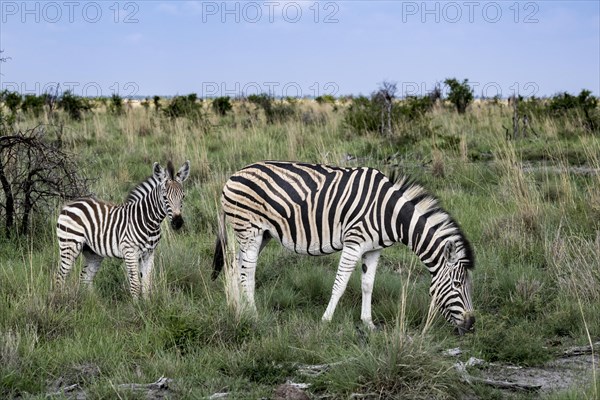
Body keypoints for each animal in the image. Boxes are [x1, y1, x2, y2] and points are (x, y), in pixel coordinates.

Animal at [55, 160, 190, 296]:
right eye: (164, 197)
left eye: (183, 196)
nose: (178, 223)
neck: (149, 222)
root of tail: (70, 204)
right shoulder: (130, 252)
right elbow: (135, 284)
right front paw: (136, 302)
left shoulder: (149, 254)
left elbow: (146, 285)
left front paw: (147, 302)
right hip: (69, 245)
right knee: (60, 277)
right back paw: (59, 298)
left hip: (93, 253)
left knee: (85, 278)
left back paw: (91, 300)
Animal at [213, 161, 476, 332]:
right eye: (457, 285)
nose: (472, 324)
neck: (389, 213)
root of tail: (232, 176)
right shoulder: (354, 242)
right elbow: (339, 284)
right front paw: (326, 320)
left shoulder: (373, 249)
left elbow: (368, 285)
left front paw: (368, 323)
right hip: (249, 230)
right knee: (247, 272)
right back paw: (253, 315)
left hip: (262, 234)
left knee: (236, 267)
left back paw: (238, 307)